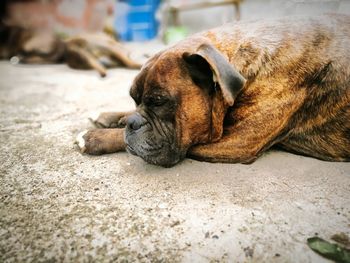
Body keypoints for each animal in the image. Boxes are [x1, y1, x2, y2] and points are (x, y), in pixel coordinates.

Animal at [76, 13, 350, 167]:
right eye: (134, 99)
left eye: (159, 101)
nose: (133, 122)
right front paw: (111, 116)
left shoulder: (234, 144)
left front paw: (95, 137)